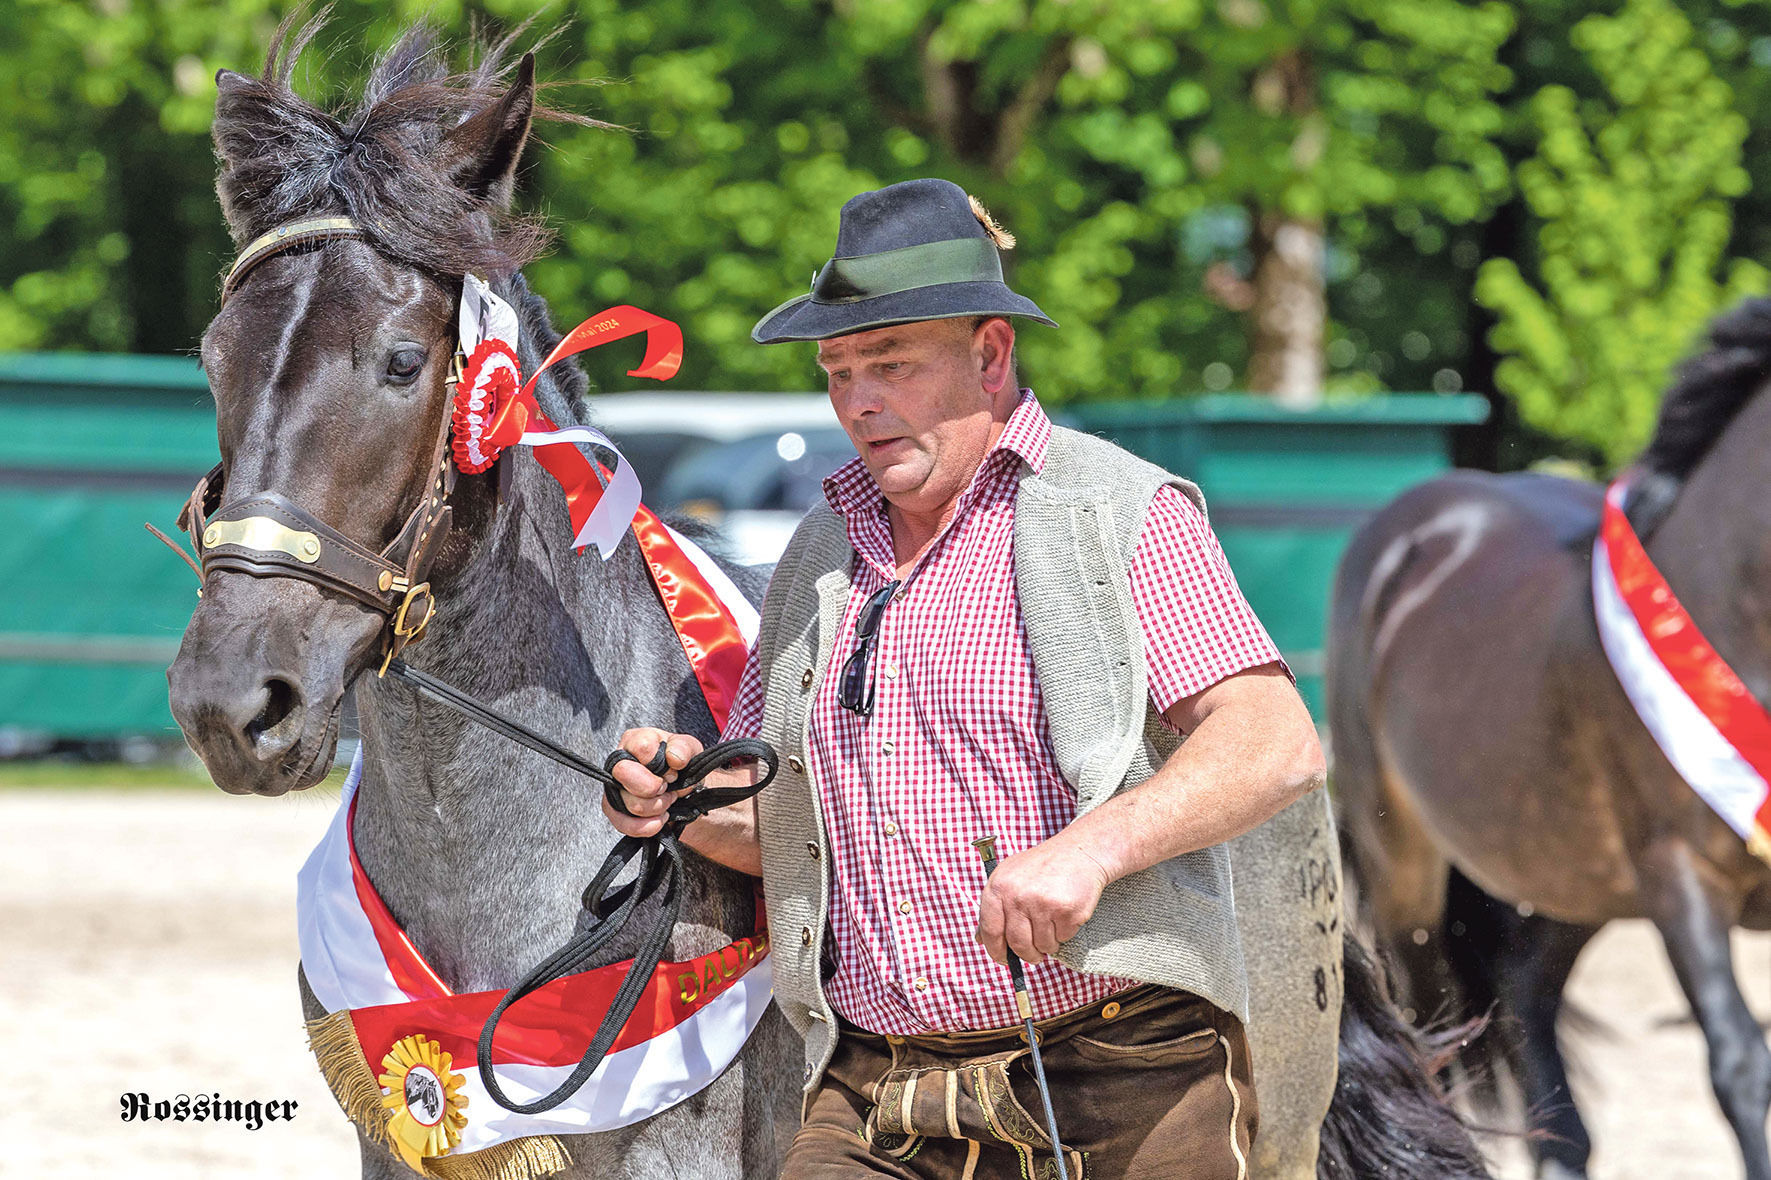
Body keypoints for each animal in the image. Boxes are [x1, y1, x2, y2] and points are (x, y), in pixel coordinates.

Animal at [1331, 295, 1771, 1176]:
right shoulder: (1682, 879)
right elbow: (1739, 1062)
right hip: (1409, 878)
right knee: (1428, 1024)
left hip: (1563, 873)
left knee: (1523, 995)